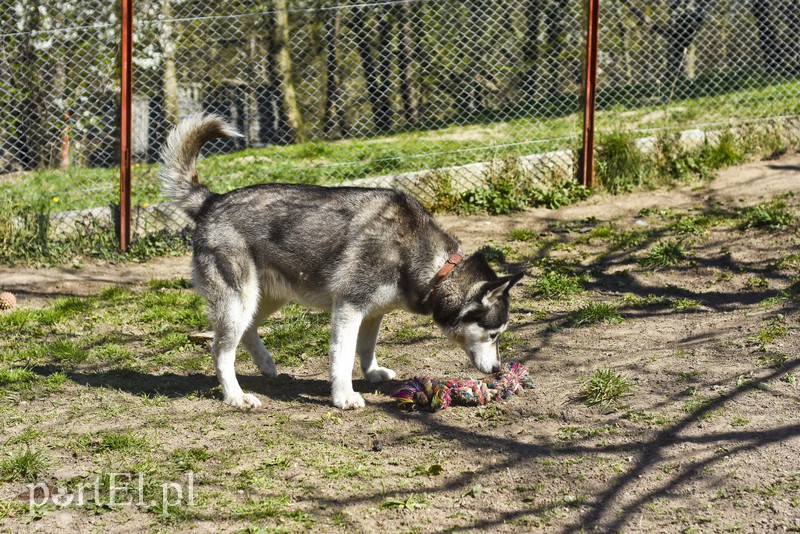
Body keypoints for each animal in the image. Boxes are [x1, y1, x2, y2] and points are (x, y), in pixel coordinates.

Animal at [161, 116, 524, 410]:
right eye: (494, 334)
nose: (498, 370)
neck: (436, 267)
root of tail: (211, 201)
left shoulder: (373, 312)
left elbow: (366, 347)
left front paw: (372, 372)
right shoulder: (349, 308)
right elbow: (343, 356)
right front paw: (344, 397)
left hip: (266, 299)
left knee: (247, 332)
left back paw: (265, 364)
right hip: (240, 301)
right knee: (221, 351)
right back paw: (235, 396)